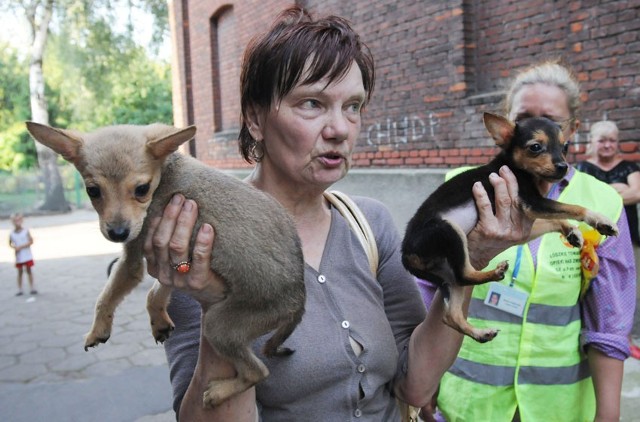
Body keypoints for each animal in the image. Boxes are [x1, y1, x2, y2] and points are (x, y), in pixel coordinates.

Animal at [25, 120, 304, 408]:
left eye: (141, 189)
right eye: (93, 191)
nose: (118, 233)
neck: (165, 175)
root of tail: (298, 300)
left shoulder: (132, 260)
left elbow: (105, 297)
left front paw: (97, 331)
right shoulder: (169, 258)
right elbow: (155, 293)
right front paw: (158, 321)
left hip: (218, 326)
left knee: (257, 372)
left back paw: (219, 392)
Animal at [402, 113, 616, 342]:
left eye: (565, 146)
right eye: (535, 147)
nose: (563, 166)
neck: (516, 168)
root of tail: (405, 254)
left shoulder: (527, 216)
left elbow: (553, 220)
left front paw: (572, 232)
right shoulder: (532, 202)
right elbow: (573, 207)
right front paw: (601, 220)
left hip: (445, 276)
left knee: (451, 314)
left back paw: (480, 333)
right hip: (448, 232)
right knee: (464, 275)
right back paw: (494, 273)